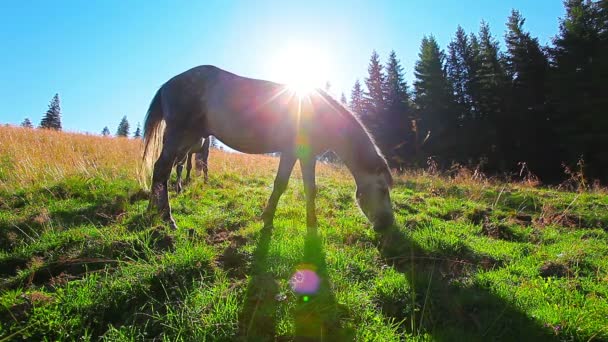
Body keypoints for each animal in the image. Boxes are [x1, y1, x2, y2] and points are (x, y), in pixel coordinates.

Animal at [145, 65, 396, 231]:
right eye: (383, 190)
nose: (388, 225)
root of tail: (167, 85)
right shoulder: (293, 153)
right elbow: (285, 184)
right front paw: (271, 217)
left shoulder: (305, 157)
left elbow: (305, 187)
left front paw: (308, 221)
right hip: (179, 136)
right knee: (161, 170)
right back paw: (166, 217)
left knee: (163, 172)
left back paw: (153, 211)